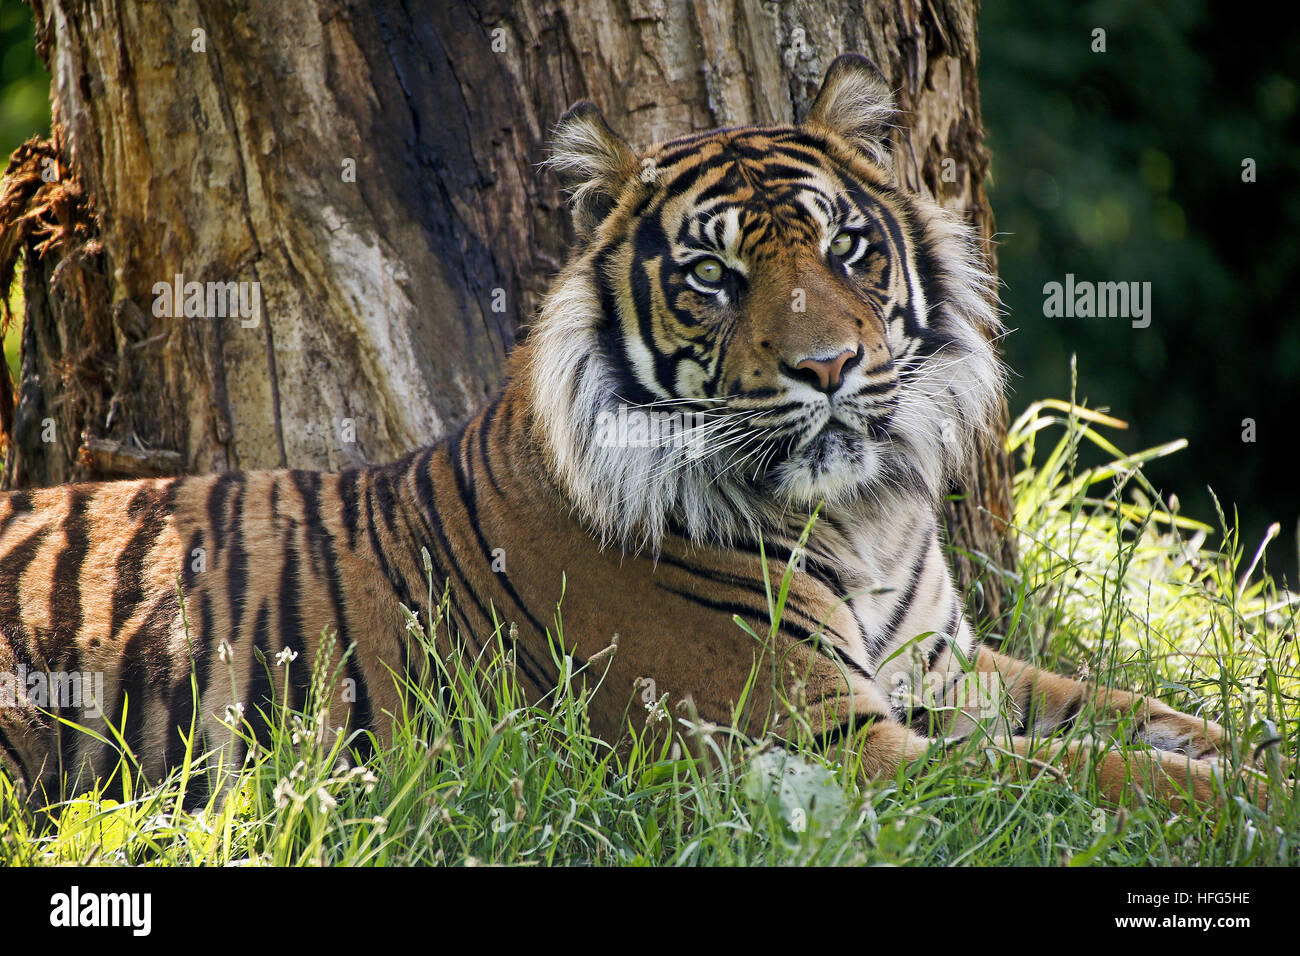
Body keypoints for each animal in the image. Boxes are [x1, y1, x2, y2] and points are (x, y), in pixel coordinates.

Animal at [0, 54, 1263, 816]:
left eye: (846, 248)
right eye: (712, 277)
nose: (829, 368)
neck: (862, 519)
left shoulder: (947, 668)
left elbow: (1148, 717)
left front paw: (1252, 749)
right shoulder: (830, 740)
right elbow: (1097, 771)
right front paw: (1259, 803)